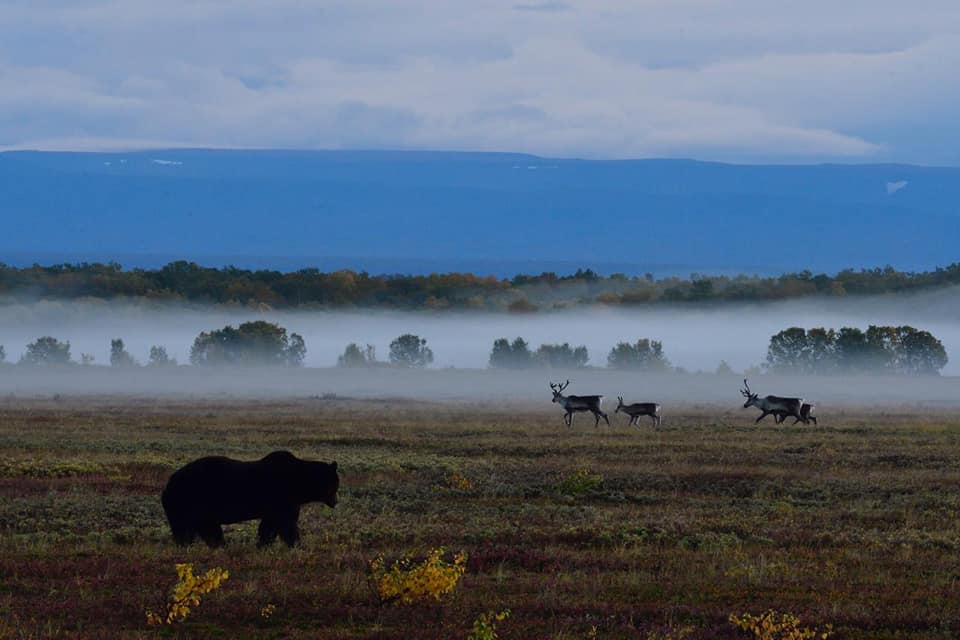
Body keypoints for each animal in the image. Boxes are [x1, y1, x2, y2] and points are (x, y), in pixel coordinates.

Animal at [158, 450, 338, 552]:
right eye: (335, 484)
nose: (335, 502)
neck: (300, 483)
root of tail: (168, 484)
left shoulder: (276, 505)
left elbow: (269, 525)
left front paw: (263, 545)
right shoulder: (281, 497)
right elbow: (286, 524)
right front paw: (298, 545)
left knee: (201, 527)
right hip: (192, 499)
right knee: (190, 527)